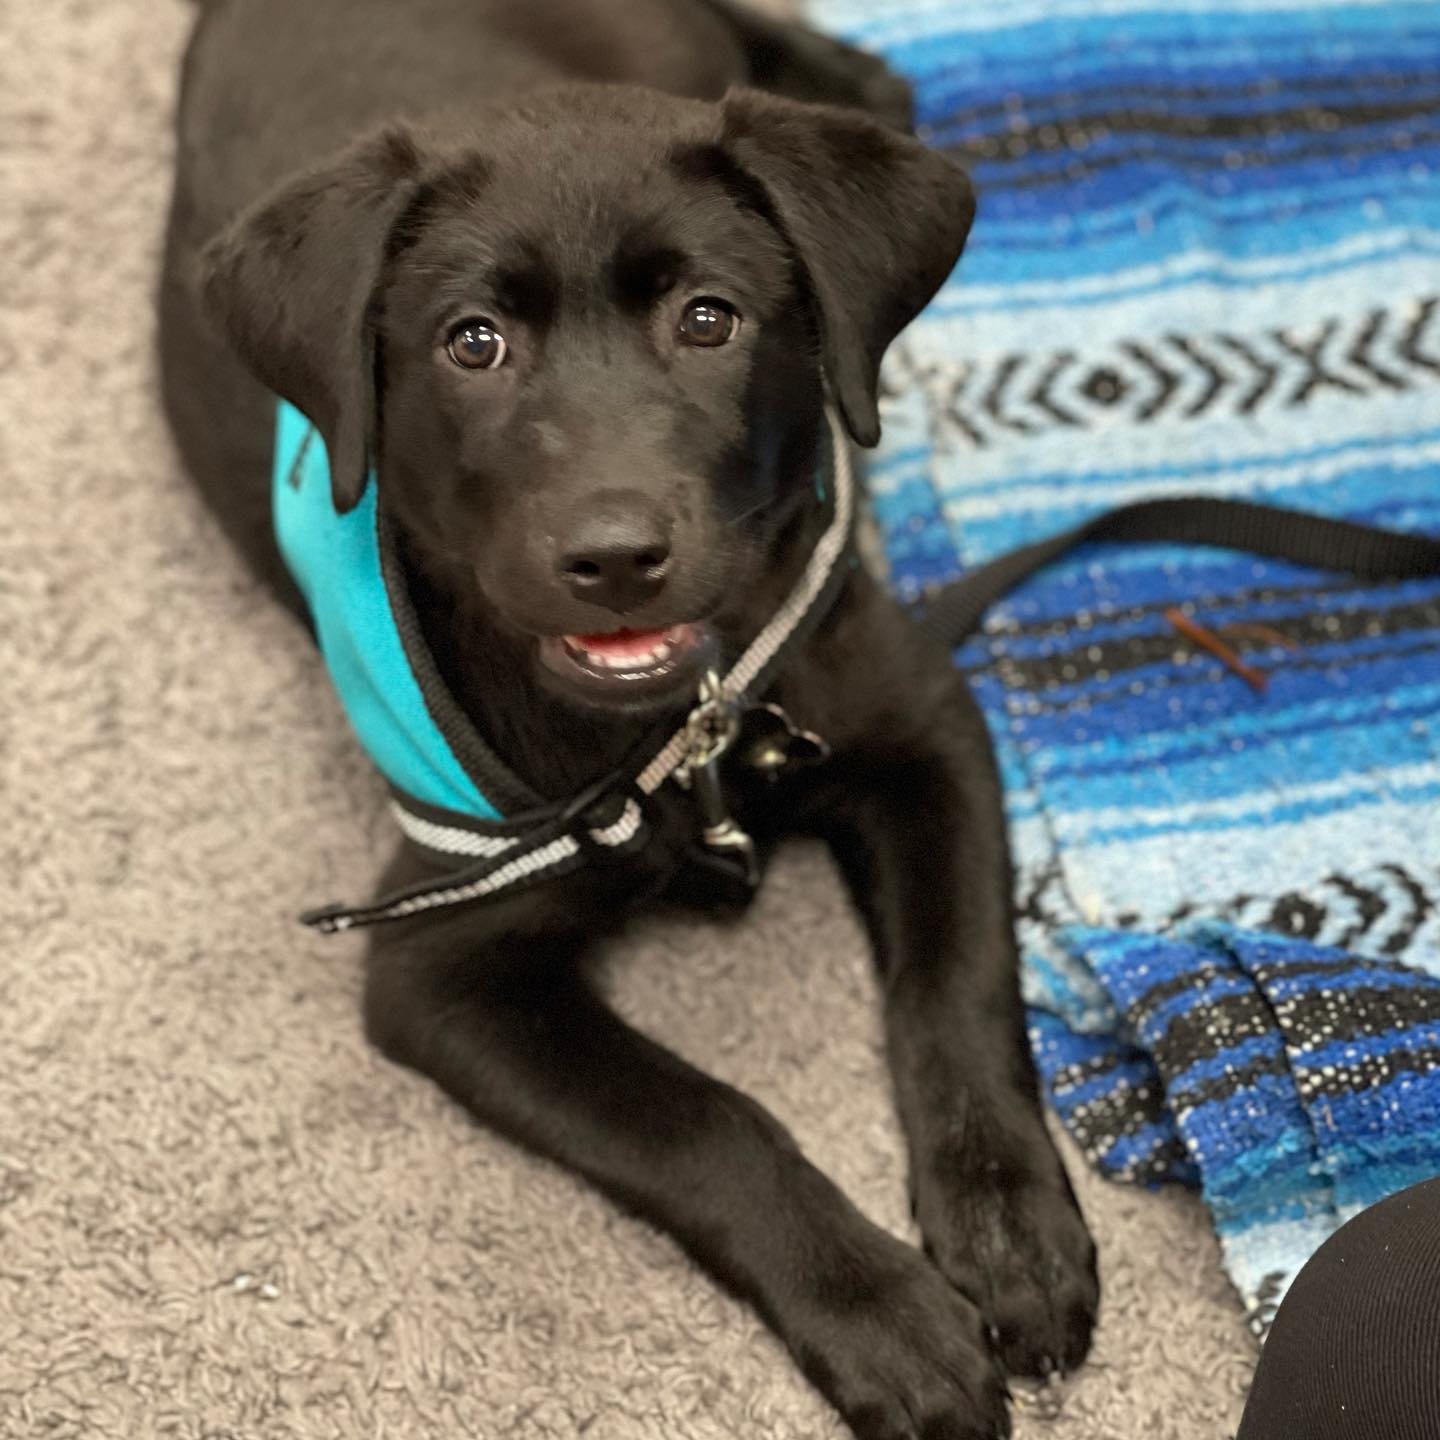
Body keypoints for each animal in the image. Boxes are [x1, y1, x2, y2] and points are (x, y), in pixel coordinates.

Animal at [159, 1, 1098, 1434]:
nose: (612, 555)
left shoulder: (925, 725)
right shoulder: (439, 964)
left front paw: (1010, 1229)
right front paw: (883, 1313)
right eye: (472, 342)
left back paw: (857, 80)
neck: (673, 740)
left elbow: (960, 989)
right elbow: (701, 1121)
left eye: (710, 321)